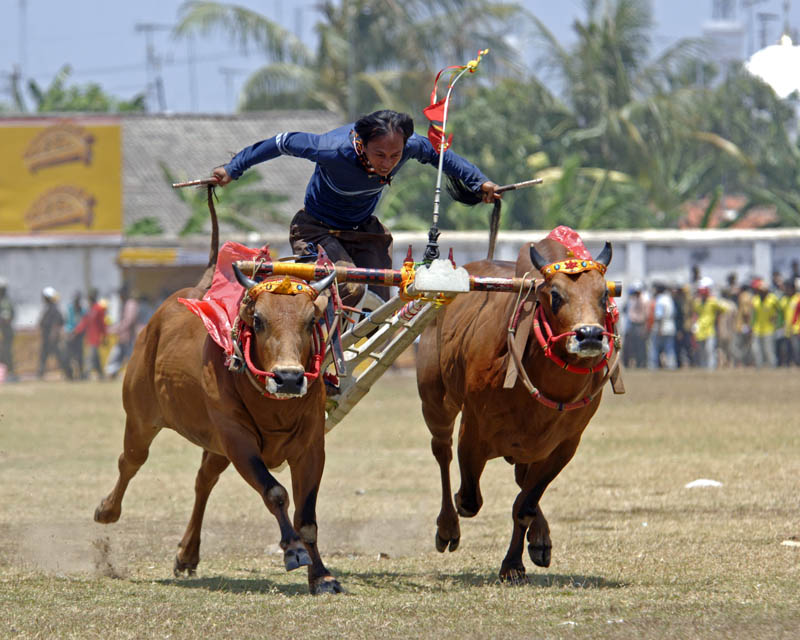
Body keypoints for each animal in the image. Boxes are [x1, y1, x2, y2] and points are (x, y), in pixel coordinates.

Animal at [94, 191, 344, 596]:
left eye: (311, 322)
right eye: (258, 320)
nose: (289, 378)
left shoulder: (310, 447)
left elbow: (307, 517)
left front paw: (321, 575)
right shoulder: (238, 440)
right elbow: (276, 493)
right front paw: (292, 550)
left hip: (213, 444)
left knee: (203, 481)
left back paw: (187, 554)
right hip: (142, 418)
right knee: (130, 461)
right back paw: (107, 510)